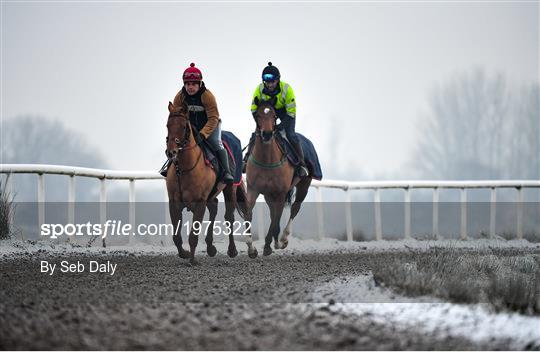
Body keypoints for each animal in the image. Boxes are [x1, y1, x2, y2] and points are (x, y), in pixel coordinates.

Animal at [165, 102, 258, 264]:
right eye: (168, 125)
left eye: (184, 126)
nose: (171, 152)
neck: (184, 169)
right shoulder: (174, 202)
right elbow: (176, 236)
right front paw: (185, 253)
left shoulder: (200, 202)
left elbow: (193, 235)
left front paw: (192, 260)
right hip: (212, 194)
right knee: (214, 207)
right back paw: (210, 247)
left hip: (230, 188)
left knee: (230, 217)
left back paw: (234, 250)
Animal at [245, 97, 312, 256]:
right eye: (258, 115)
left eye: (274, 116)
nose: (267, 134)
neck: (266, 160)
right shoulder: (252, 189)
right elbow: (248, 213)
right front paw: (251, 248)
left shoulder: (281, 192)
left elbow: (277, 219)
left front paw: (271, 245)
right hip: (269, 194)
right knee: (273, 212)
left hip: (304, 185)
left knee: (294, 208)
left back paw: (283, 239)